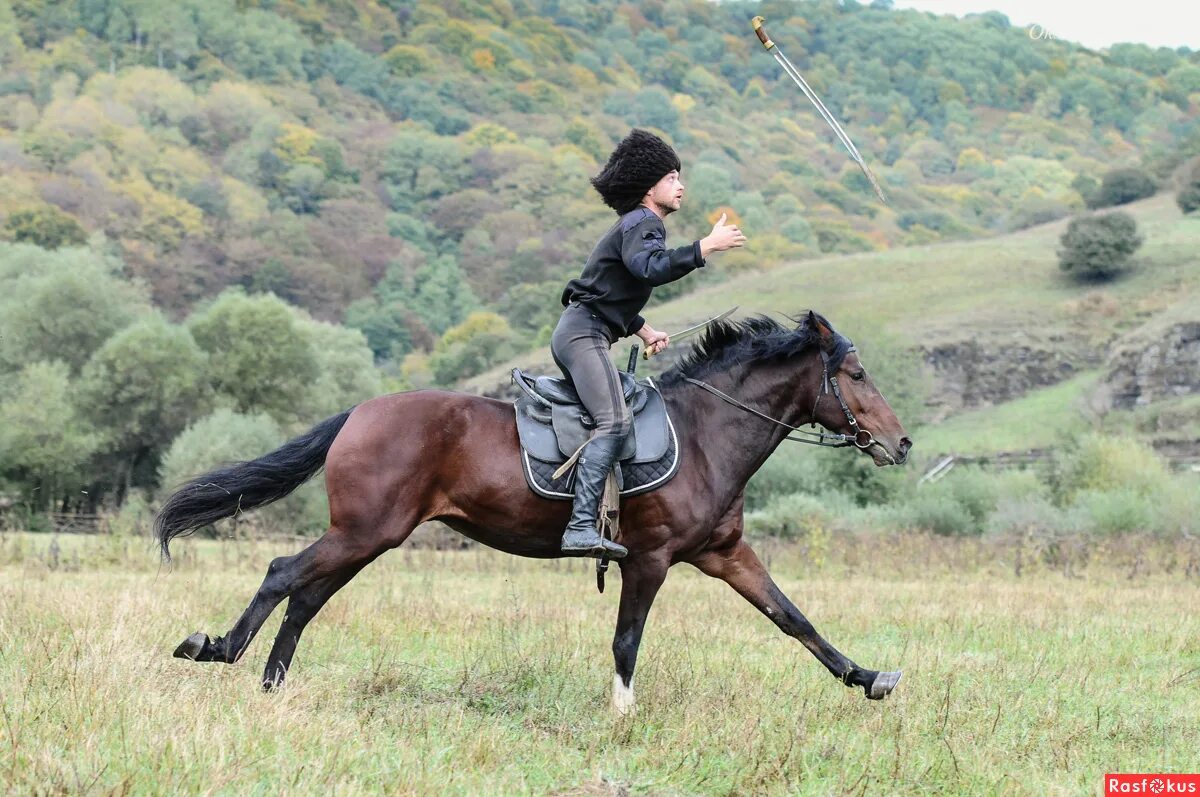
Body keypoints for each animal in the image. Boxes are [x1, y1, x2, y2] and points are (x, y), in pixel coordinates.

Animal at [157, 309, 907, 710]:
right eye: (857, 375)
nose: (900, 443)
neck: (704, 432)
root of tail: (359, 412)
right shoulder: (650, 559)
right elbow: (627, 640)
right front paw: (622, 716)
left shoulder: (724, 554)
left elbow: (794, 619)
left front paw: (871, 678)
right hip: (365, 530)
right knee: (284, 573)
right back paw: (216, 649)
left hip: (368, 536)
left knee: (307, 596)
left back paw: (272, 683)